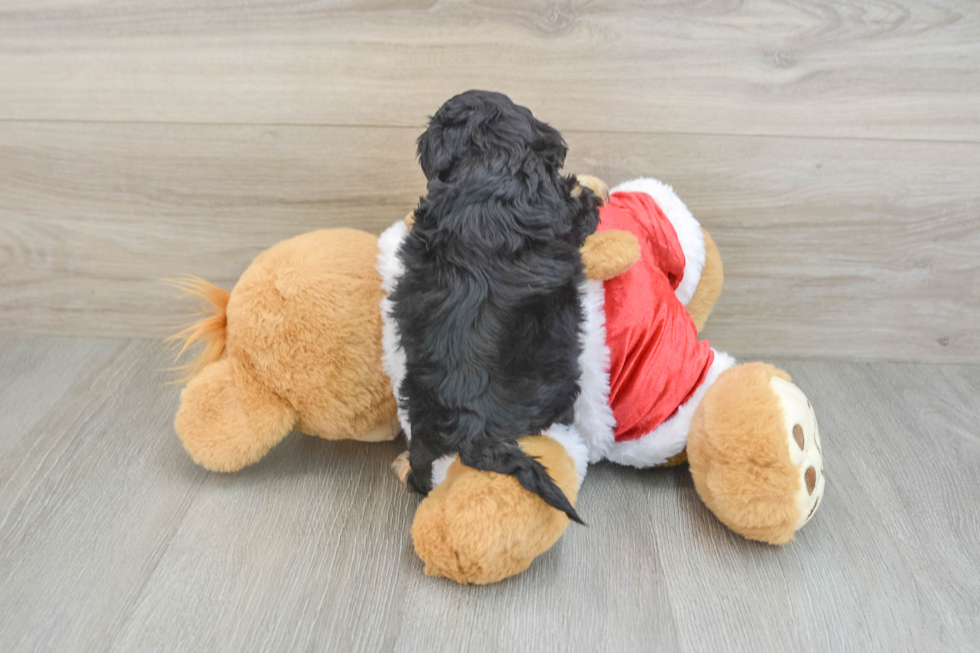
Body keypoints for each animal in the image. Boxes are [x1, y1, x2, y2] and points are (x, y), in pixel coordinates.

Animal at [388, 90, 600, 524]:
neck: (489, 162)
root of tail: (472, 426)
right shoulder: (563, 217)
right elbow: (581, 213)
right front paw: (587, 192)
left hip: (420, 404)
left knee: (422, 463)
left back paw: (409, 471)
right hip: (557, 384)